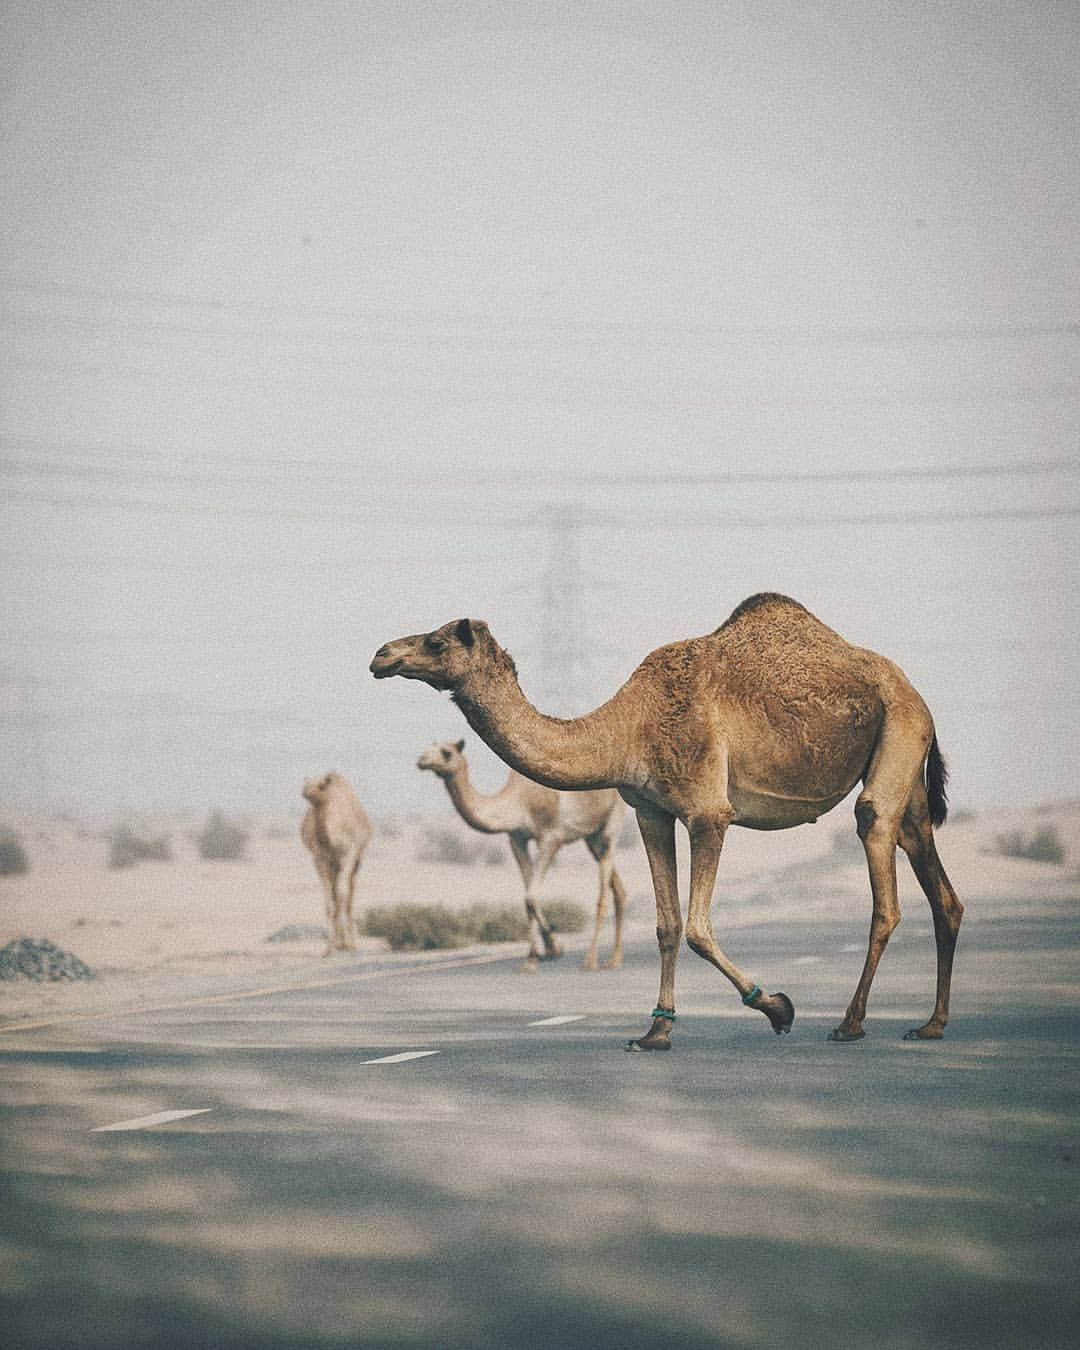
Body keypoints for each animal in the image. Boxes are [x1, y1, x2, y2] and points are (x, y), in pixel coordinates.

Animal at [301, 777, 372, 955]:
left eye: (320, 785)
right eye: (306, 782)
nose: (305, 790)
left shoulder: (348, 855)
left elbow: (342, 895)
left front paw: (348, 945)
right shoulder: (319, 859)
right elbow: (330, 901)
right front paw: (329, 948)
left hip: (356, 861)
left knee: (349, 894)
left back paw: (350, 943)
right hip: (333, 864)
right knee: (335, 893)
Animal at [415, 739, 631, 972]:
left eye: (446, 753)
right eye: (430, 747)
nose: (422, 760)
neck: (518, 801)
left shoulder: (551, 838)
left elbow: (531, 896)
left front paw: (554, 947)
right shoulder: (517, 839)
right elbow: (527, 896)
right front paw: (532, 958)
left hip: (612, 823)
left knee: (603, 890)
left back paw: (591, 960)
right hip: (591, 837)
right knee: (618, 889)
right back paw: (615, 959)